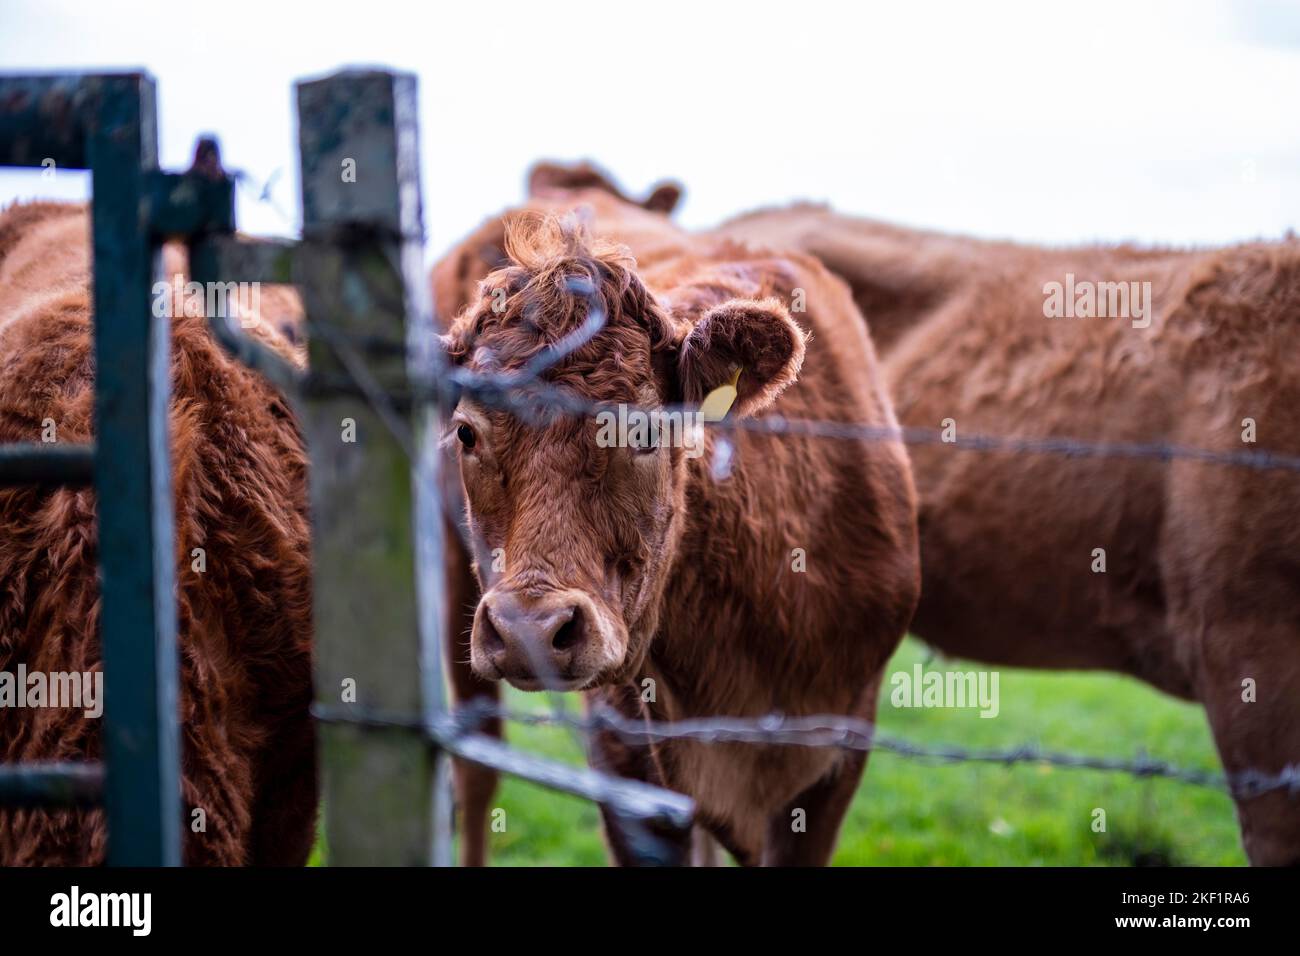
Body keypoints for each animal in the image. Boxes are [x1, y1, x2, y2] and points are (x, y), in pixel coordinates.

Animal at [431, 188, 920, 868]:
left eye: (642, 431)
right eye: (467, 432)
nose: (530, 629)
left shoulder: (841, 747)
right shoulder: (625, 753)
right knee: (477, 764)